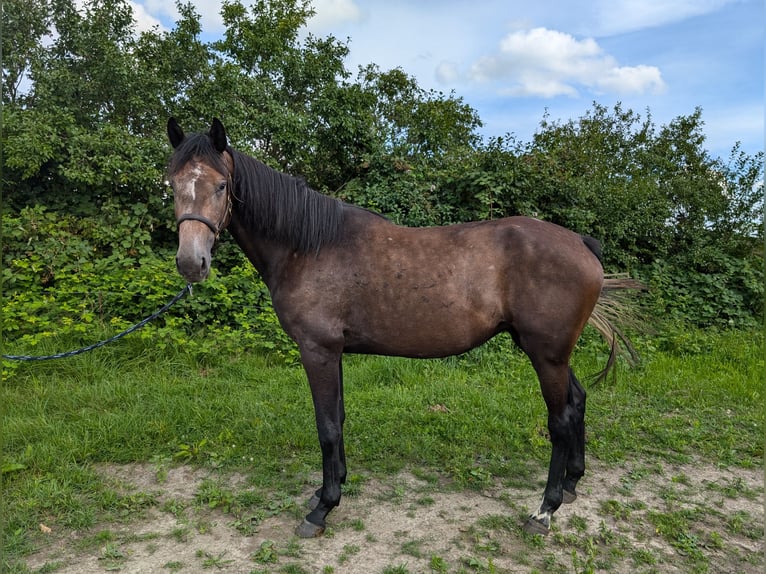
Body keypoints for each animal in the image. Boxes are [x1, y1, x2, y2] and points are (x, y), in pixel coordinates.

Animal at [171, 117, 640, 540]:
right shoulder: (333, 353)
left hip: (546, 355)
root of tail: (581, 243)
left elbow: (327, 426)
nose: (192, 263)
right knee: (578, 401)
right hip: (547, 351)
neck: (308, 246)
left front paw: (322, 508)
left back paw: (544, 511)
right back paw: (573, 484)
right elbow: (339, 418)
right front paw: (332, 489)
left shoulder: (317, 350)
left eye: (221, 186)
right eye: (171, 184)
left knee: (560, 420)